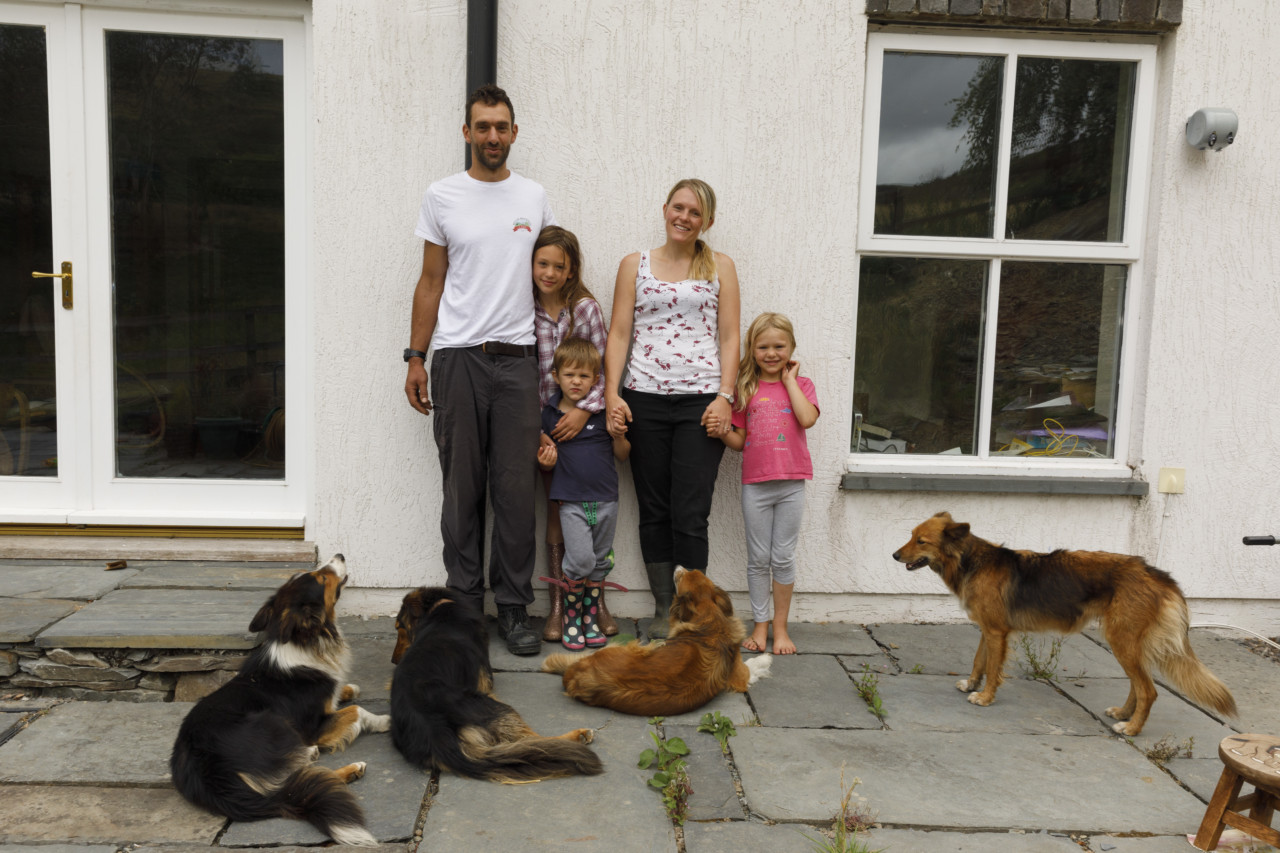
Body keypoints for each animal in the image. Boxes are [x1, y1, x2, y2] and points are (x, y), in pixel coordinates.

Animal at [170, 555, 390, 846]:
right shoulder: (314, 727)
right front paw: (384, 721)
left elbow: (341, 695)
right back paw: (331, 760)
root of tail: (204, 775)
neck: (306, 640)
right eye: (321, 578)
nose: (340, 556)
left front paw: (347, 688)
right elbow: (358, 710)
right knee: (301, 780)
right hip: (273, 722)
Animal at [389, 587, 603, 782]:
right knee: (532, 741)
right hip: (491, 706)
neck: (441, 609)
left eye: (400, 628)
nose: (394, 660)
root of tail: (433, 732)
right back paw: (579, 736)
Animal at [541, 566, 772, 716]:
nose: (678, 566)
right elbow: (752, 664)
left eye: (684, 574)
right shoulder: (740, 676)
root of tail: (575, 675)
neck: (709, 619)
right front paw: (766, 658)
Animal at [893, 512, 1236, 735]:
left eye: (921, 541)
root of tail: (1157, 574)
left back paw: (1132, 728)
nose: (894, 554)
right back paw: (1124, 713)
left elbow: (992, 668)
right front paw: (971, 685)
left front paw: (986, 698)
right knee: (1138, 686)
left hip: (1121, 640)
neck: (970, 560)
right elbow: (979, 662)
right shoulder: (988, 630)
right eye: (909, 535)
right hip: (1126, 643)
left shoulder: (996, 632)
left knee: (1149, 691)